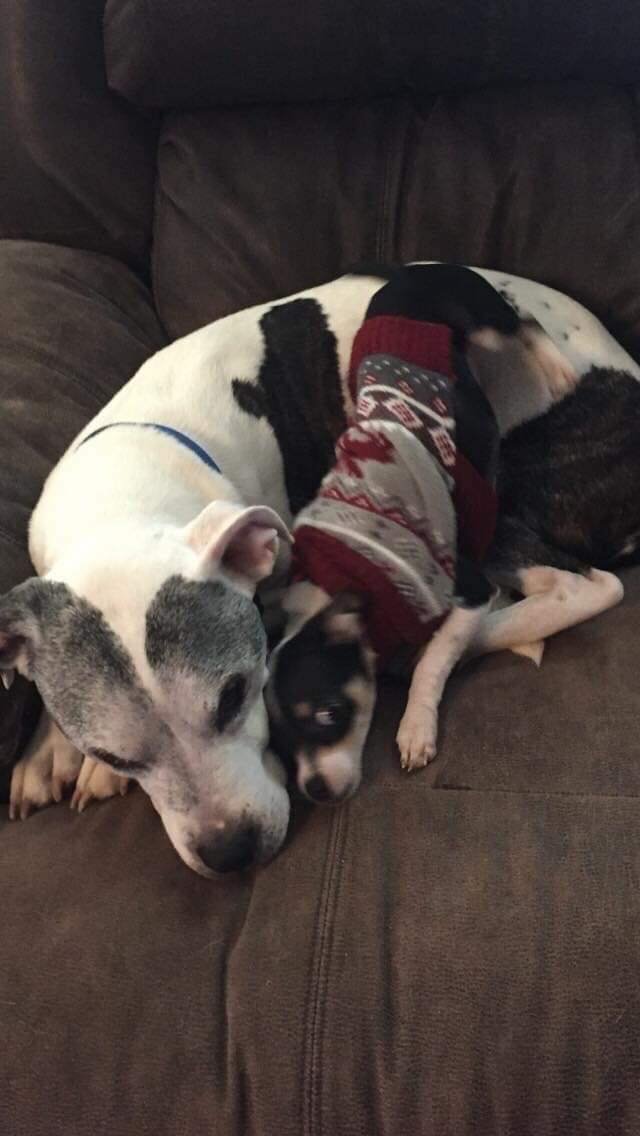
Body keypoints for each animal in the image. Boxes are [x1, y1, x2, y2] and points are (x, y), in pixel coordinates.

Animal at [0, 264, 635, 874]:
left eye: (235, 695)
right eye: (113, 751)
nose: (231, 853)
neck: (122, 497)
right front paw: (54, 751)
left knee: (582, 585)